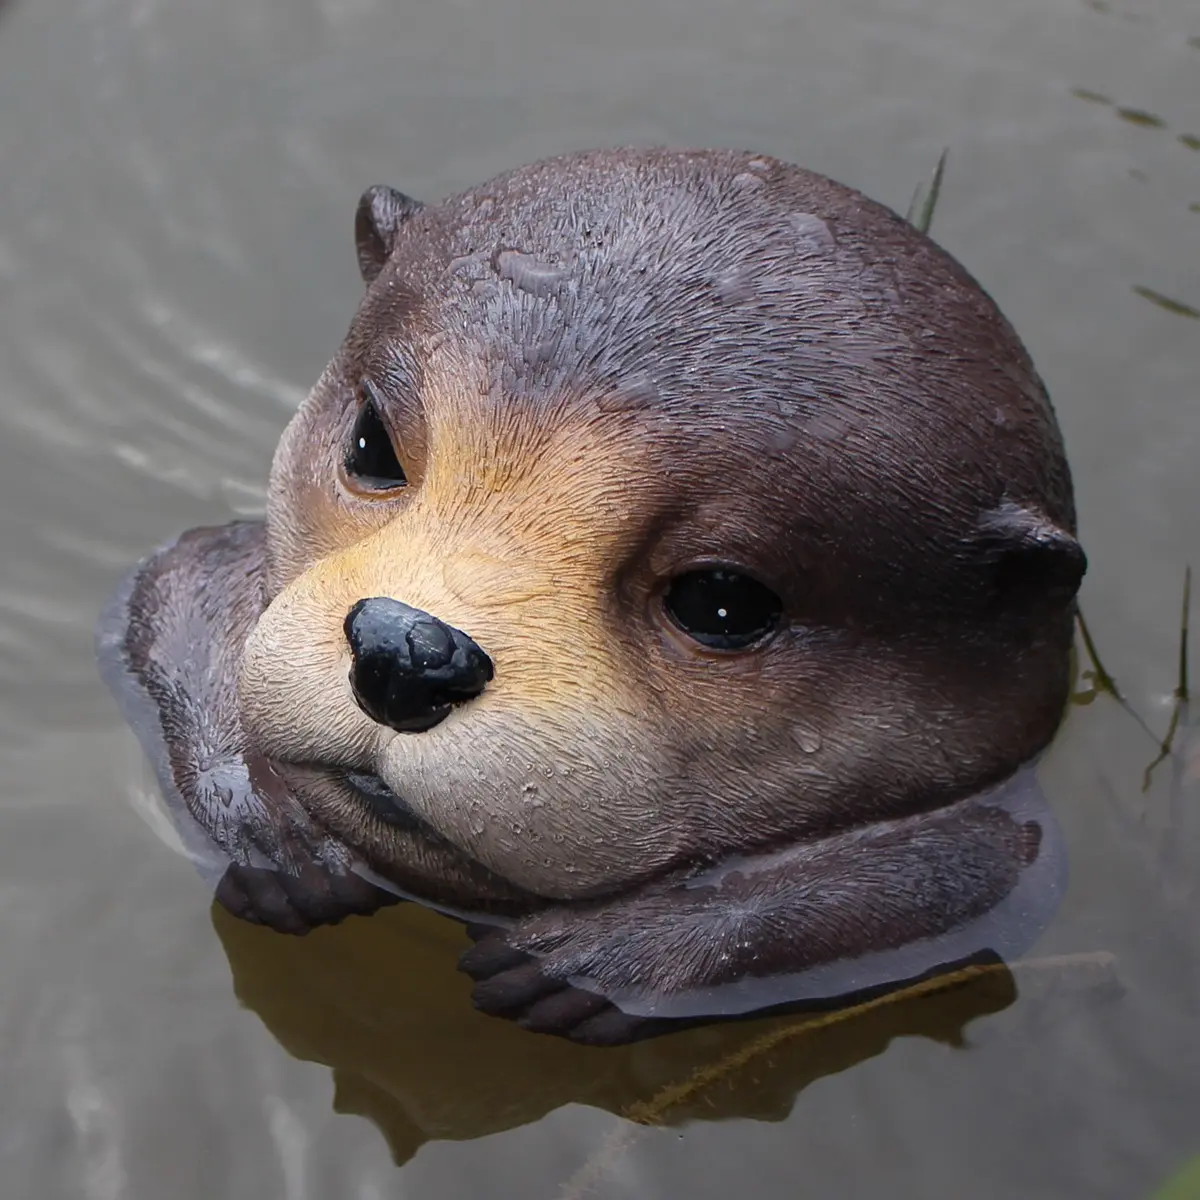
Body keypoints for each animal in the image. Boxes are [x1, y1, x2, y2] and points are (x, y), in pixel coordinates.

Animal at [98, 148, 1085, 1045]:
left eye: (722, 602)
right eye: (372, 441)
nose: (409, 650)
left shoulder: (1004, 826)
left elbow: (967, 875)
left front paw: (608, 958)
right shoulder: (194, 572)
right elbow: (170, 604)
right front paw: (269, 821)